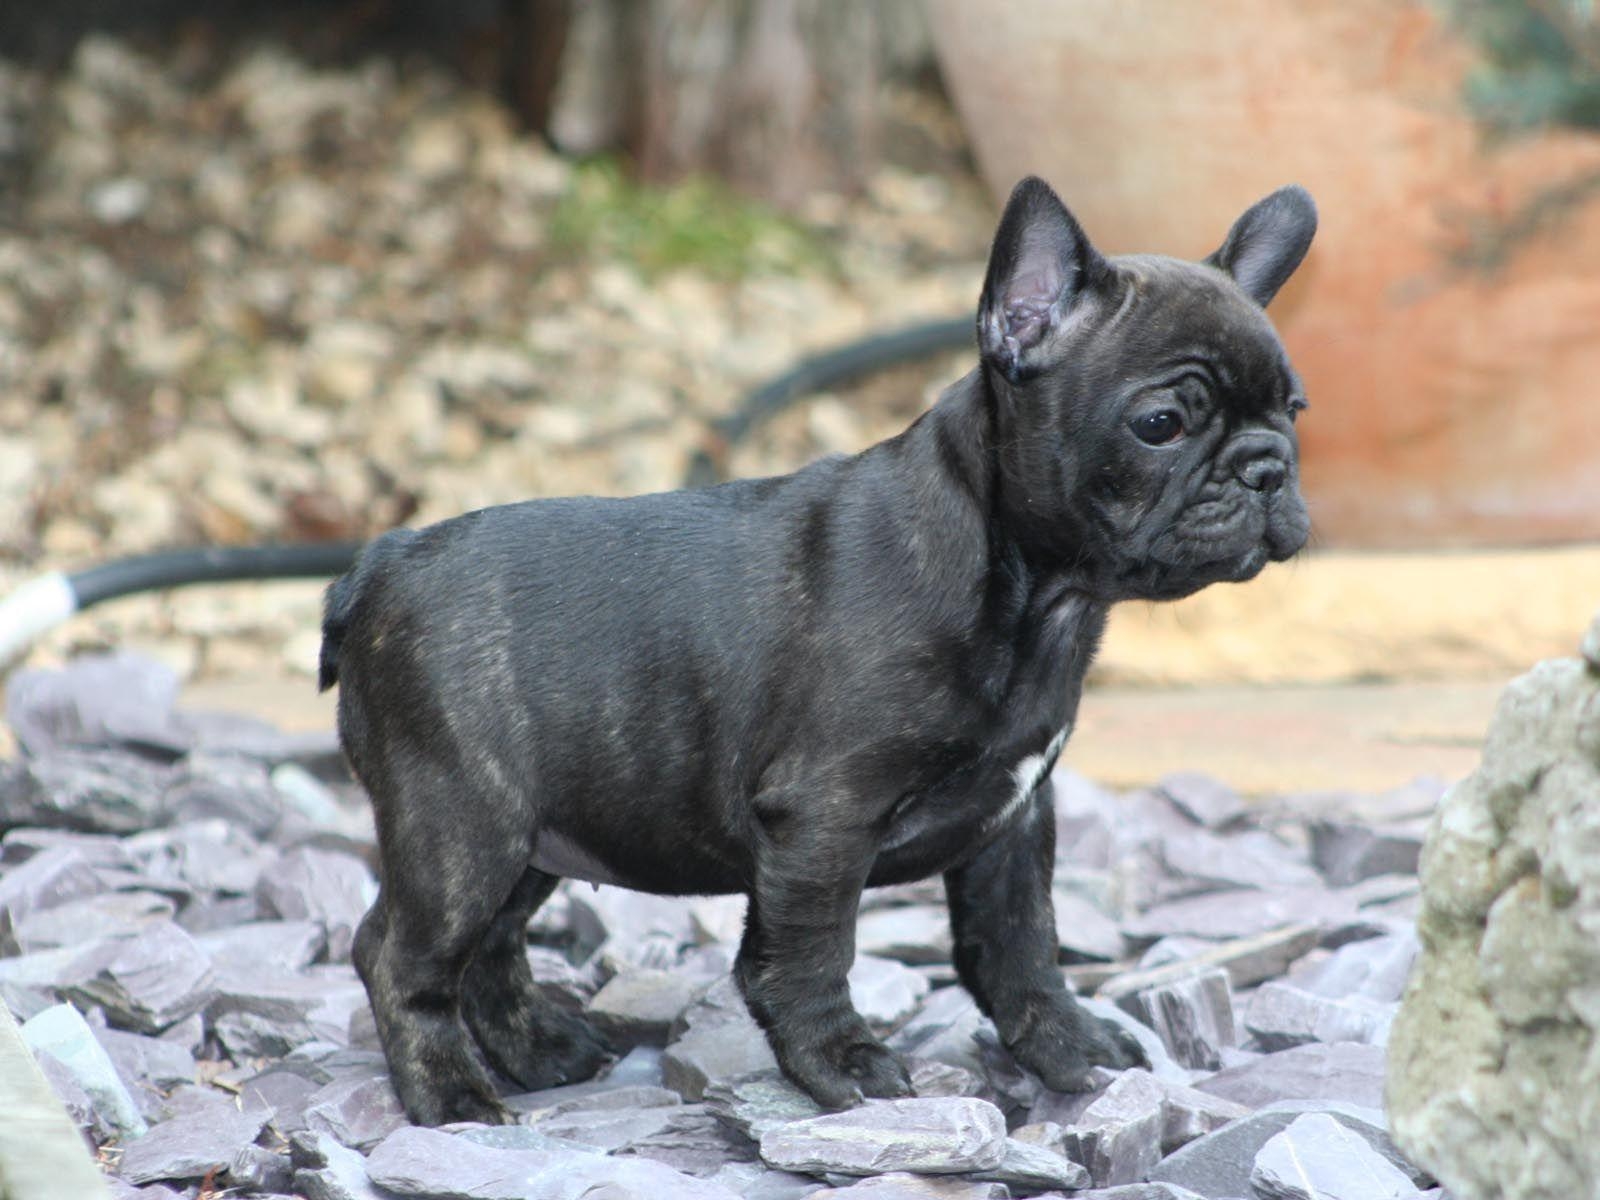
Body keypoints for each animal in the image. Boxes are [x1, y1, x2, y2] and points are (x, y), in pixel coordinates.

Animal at [321, 173, 1312, 1132]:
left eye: (1295, 410)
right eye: (1161, 424)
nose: (1268, 466)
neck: (1037, 593)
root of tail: (377, 562)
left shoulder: (1016, 819)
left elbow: (1021, 944)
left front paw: (1069, 1047)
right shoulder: (824, 817)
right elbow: (808, 953)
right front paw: (842, 1063)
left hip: (538, 832)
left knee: (491, 944)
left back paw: (540, 1050)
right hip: (465, 824)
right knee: (402, 955)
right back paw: (448, 1095)